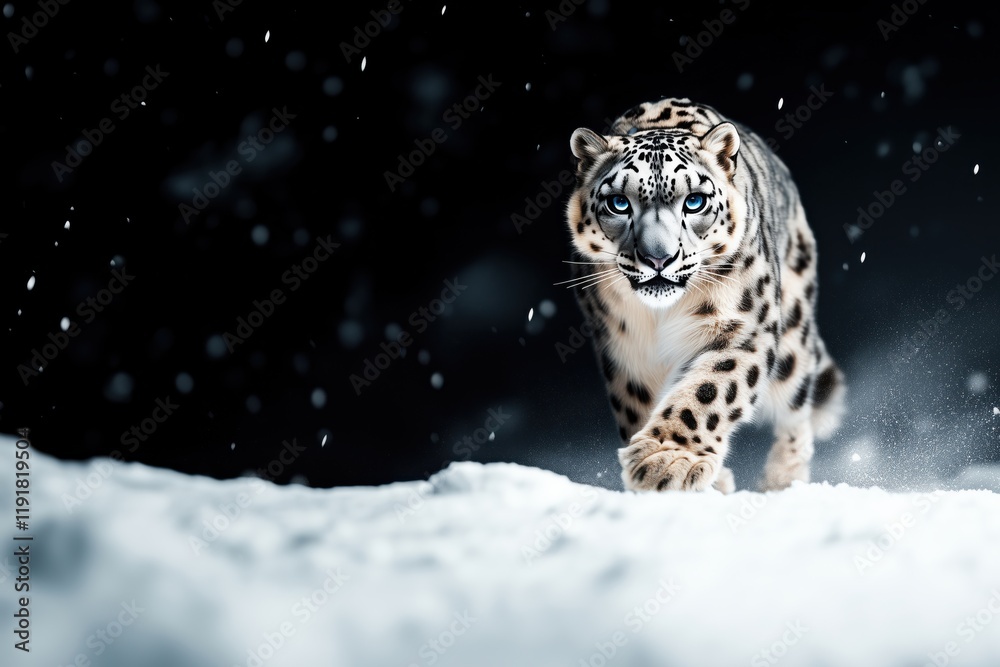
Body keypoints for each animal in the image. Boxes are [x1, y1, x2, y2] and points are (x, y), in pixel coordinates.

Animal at [564, 98, 846, 493]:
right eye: (619, 203)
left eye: (694, 202)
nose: (658, 258)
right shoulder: (625, 347)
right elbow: (640, 403)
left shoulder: (744, 327)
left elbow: (708, 390)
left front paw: (666, 460)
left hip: (793, 331)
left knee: (795, 407)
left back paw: (783, 479)